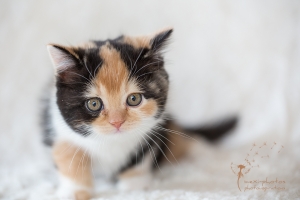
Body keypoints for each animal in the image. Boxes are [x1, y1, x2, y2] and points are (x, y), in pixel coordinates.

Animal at [44, 28, 237, 199]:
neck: (111, 143)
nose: (116, 122)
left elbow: (143, 151)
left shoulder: (154, 127)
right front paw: (74, 190)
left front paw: (133, 183)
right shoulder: (56, 123)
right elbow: (66, 152)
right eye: (94, 104)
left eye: (134, 99)